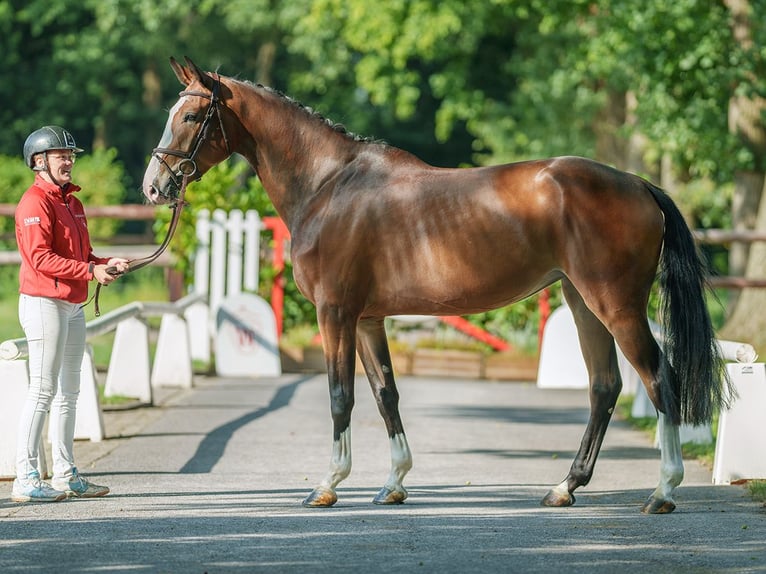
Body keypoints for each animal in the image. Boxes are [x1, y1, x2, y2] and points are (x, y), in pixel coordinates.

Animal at [141, 58, 736, 516]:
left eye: (191, 115)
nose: (154, 186)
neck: (329, 185)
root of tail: (636, 183)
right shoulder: (367, 319)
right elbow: (385, 394)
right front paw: (393, 485)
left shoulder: (335, 313)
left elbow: (340, 395)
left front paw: (328, 486)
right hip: (582, 303)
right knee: (605, 387)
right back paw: (565, 488)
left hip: (615, 305)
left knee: (660, 379)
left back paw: (663, 492)